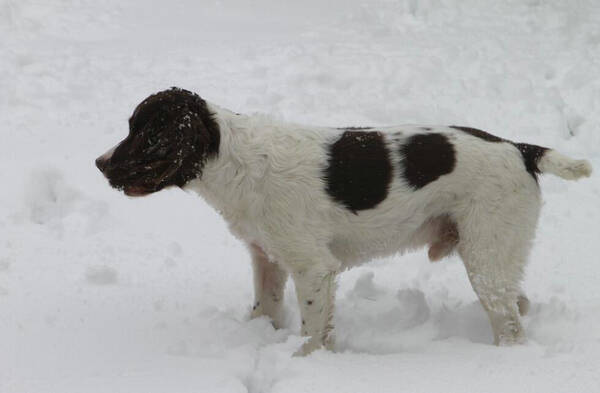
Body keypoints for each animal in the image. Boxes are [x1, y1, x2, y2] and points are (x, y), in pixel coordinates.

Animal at [97, 86, 592, 356]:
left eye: (146, 133)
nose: (99, 164)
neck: (234, 160)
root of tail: (520, 149)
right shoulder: (268, 259)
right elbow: (266, 309)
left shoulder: (313, 268)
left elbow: (314, 331)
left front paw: (306, 363)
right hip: (497, 255)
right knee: (519, 304)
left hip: (486, 257)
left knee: (511, 326)